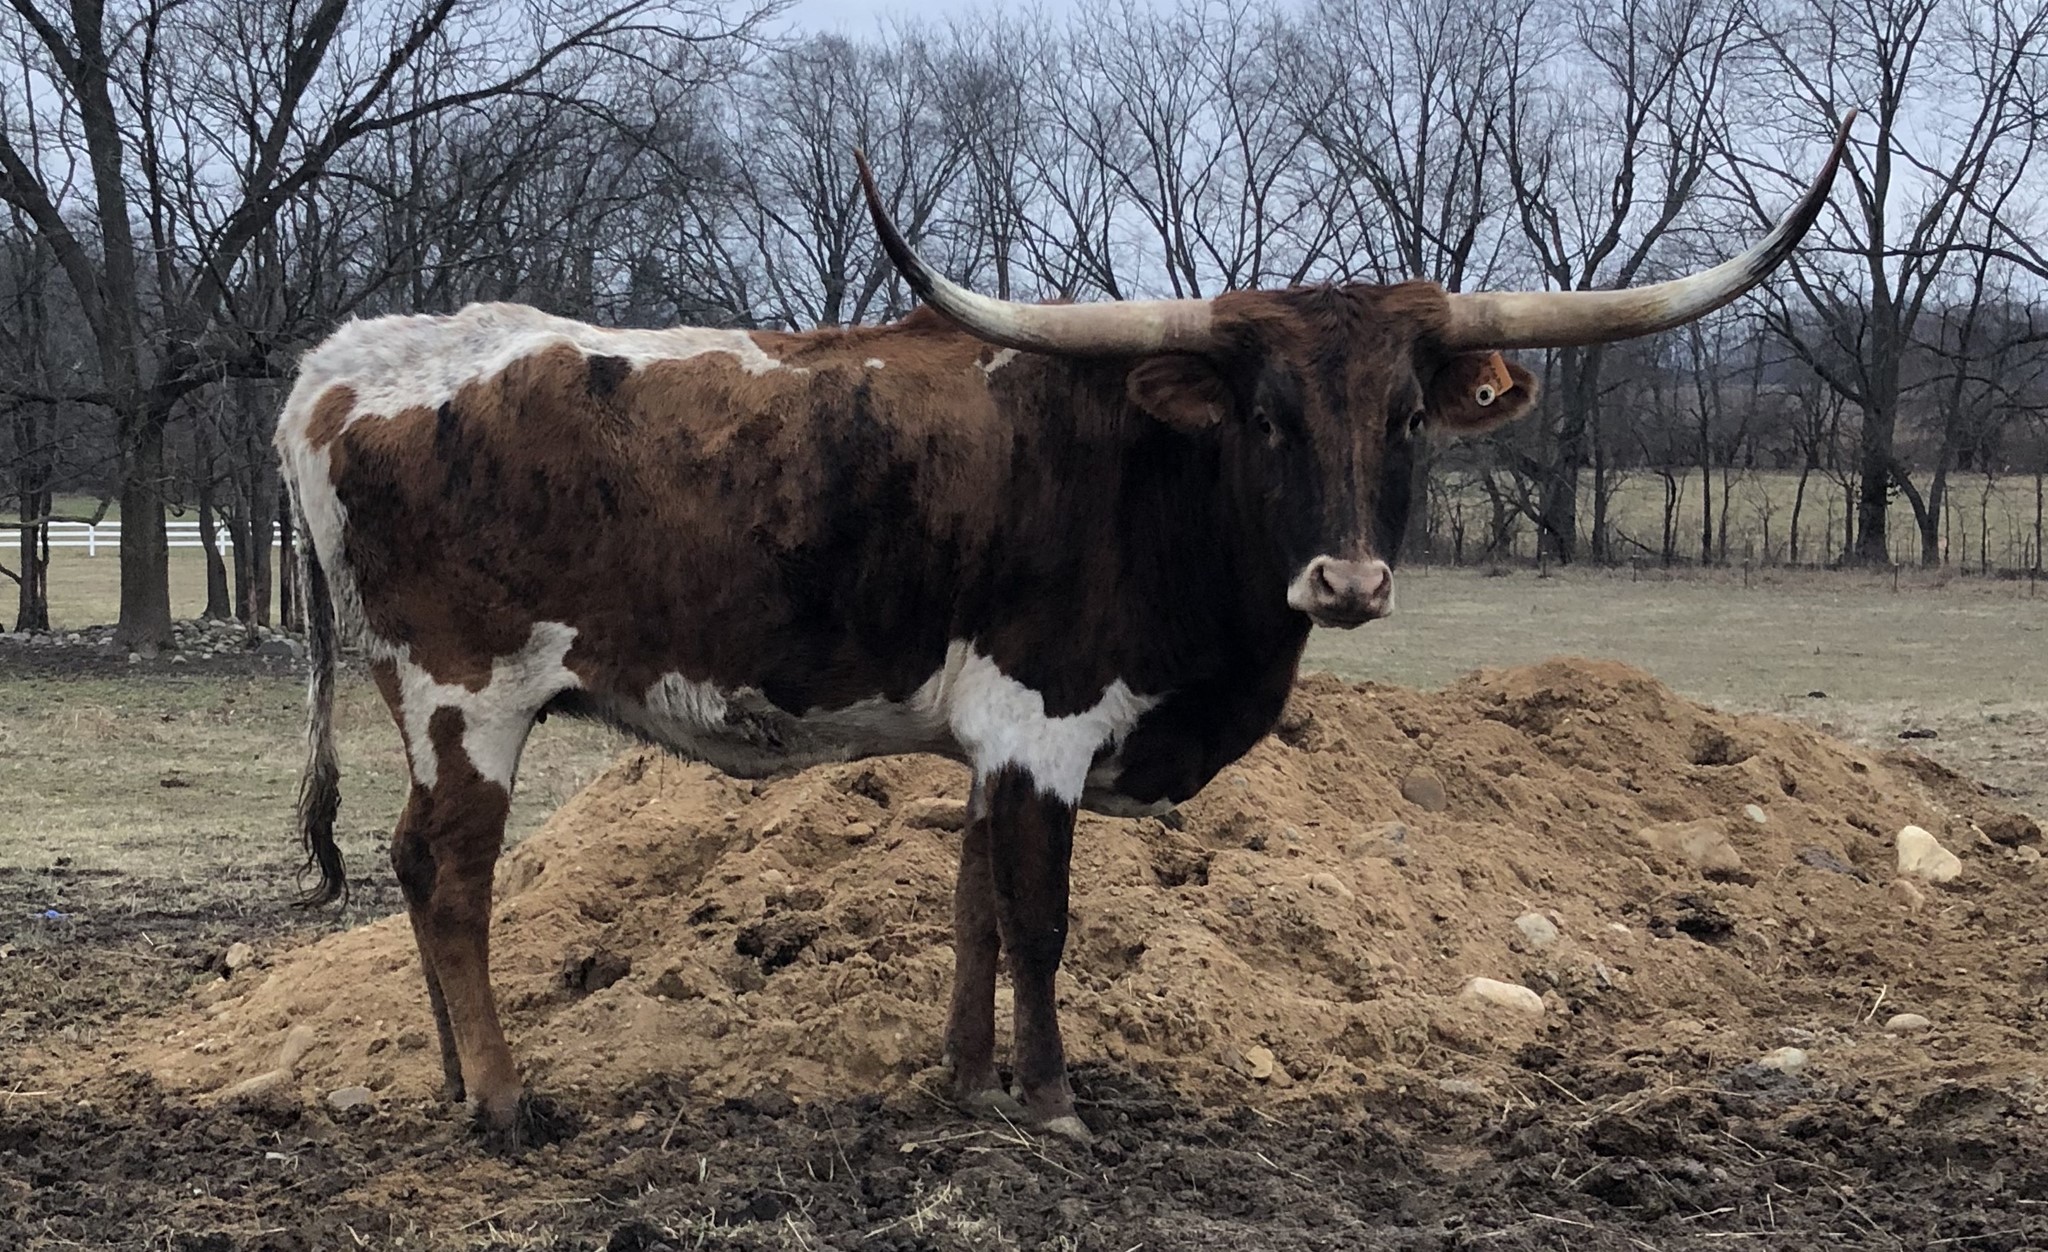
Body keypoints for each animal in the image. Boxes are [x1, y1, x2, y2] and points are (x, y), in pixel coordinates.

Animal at [276, 118, 1850, 1148]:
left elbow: (972, 901)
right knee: (451, 881)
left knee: (414, 872)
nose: (1345, 581)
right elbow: (1037, 918)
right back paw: (500, 1099)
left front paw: (967, 1083)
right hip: (466, 697)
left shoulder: (988, 739)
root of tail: (345, 368)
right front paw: (1049, 1101)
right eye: (1265, 416)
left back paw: (448, 1078)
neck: (1147, 471)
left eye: (1406, 415)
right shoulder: (1044, 724)